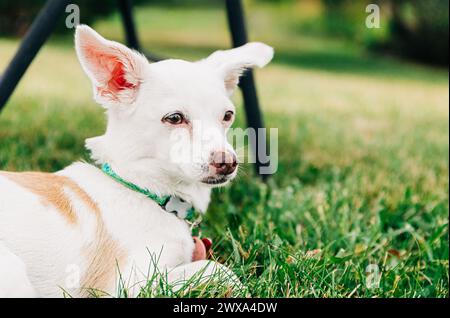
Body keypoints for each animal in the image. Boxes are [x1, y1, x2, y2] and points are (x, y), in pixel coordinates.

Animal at [0, 25, 274, 298]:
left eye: (227, 116)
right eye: (175, 118)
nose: (228, 162)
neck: (144, 189)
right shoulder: (129, 284)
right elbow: (215, 267)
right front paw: (241, 290)